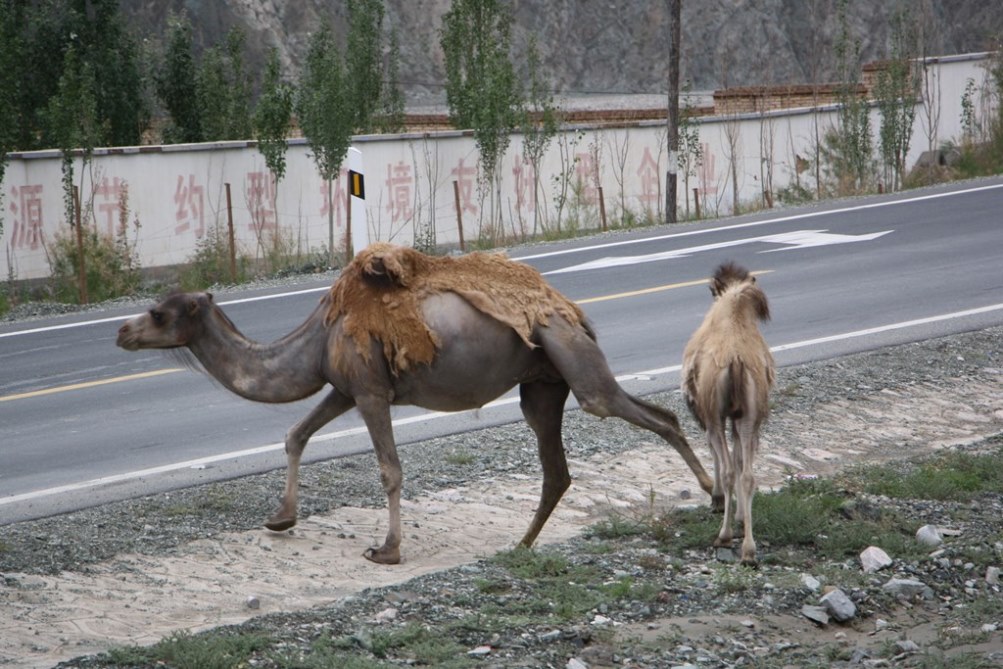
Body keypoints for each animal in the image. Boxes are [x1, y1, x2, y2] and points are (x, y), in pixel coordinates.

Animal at [117, 243, 714, 561]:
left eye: (159, 313)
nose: (122, 332)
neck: (314, 341)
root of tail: (572, 310)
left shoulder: (371, 390)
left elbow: (390, 470)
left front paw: (387, 549)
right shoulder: (344, 387)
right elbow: (295, 434)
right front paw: (281, 519)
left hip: (570, 358)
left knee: (651, 414)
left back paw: (715, 494)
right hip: (543, 383)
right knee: (557, 467)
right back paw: (520, 544)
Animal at [682, 260, 774, 565]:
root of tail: (735, 364)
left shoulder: (707, 416)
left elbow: (717, 457)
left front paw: (717, 500)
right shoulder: (737, 417)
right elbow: (738, 458)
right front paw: (740, 516)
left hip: (714, 414)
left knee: (730, 471)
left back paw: (723, 535)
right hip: (751, 415)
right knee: (747, 474)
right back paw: (748, 549)